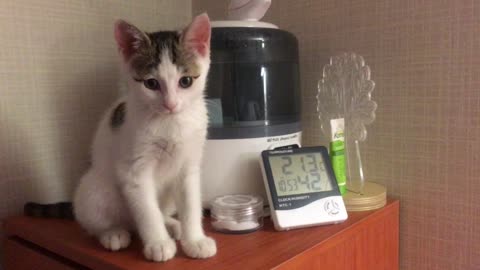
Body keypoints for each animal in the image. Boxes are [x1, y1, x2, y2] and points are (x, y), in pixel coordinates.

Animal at [73, 14, 216, 262]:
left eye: (186, 81)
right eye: (151, 83)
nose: (171, 104)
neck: (171, 123)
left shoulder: (189, 166)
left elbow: (190, 204)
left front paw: (195, 241)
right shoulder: (134, 171)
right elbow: (147, 211)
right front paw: (158, 244)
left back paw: (172, 224)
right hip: (95, 189)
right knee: (98, 222)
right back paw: (113, 233)